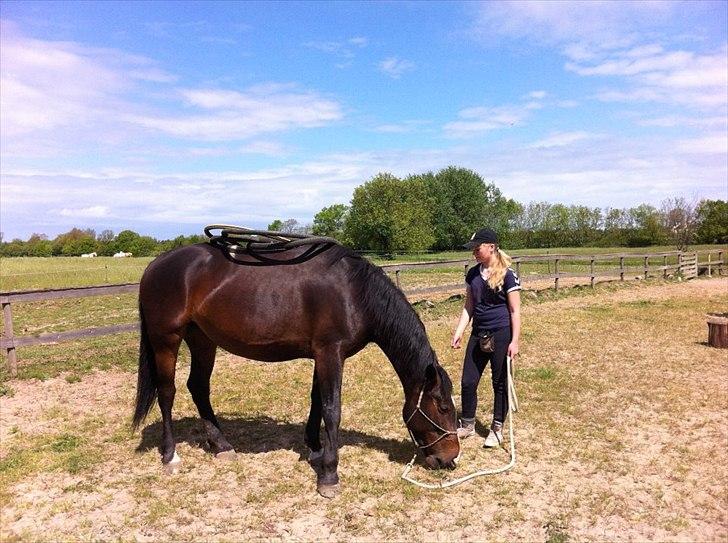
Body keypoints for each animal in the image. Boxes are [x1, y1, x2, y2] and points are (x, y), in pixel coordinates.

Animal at [134, 241, 458, 498]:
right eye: (442, 407)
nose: (450, 458)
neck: (354, 292)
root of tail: (155, 265)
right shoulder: (330, 353)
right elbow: (332, 409)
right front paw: (329, 475)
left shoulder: (322, 355)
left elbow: (317, 402)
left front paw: (315, 448)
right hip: (166, 340)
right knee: (167, 392)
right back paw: (170, 456)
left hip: (202, 340)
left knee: (199, 387)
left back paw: (221, 446)